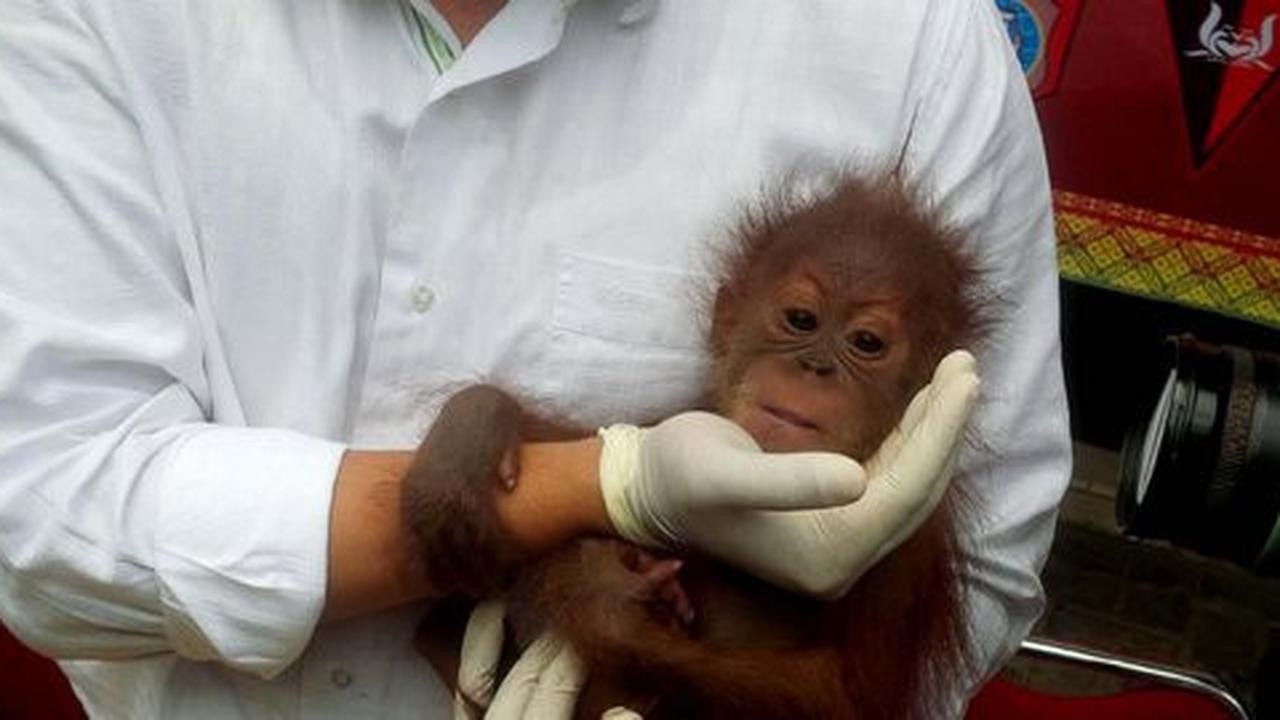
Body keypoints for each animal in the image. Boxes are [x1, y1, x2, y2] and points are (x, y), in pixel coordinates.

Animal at [402, 170, 991, 719]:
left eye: (867, 342)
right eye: (801, 319)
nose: (815, 366)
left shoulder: (909, 557)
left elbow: (849, 696)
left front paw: (603, 597)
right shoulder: (689, 416)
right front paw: (476, 429)